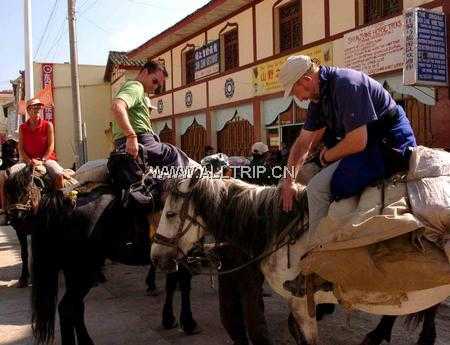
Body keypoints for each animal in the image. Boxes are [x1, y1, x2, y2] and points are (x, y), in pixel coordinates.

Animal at [4, 165, 199, 342]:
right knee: (68, 307)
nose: (14, 218)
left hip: (73, 270)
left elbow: (173, 283)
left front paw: (169, 319)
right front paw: (188, 322)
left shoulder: (172, 255)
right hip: (83, 270)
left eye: (26, 190)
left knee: (74, 307)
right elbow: (184, 284)